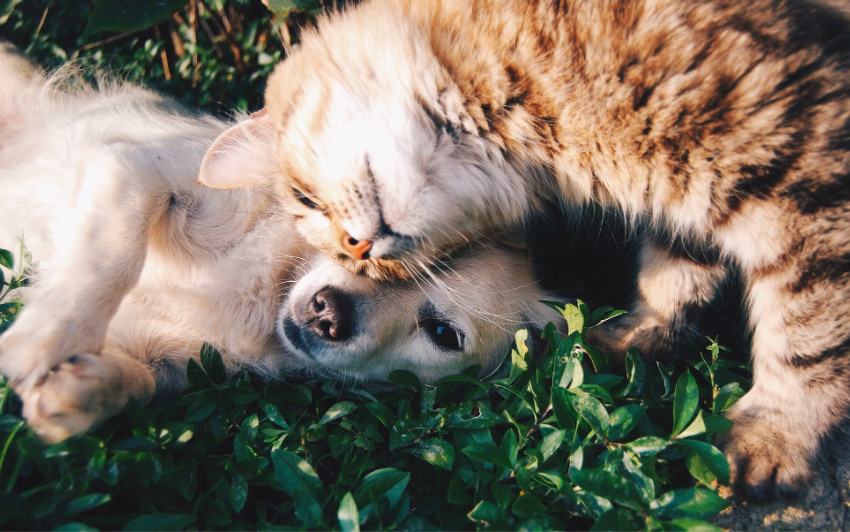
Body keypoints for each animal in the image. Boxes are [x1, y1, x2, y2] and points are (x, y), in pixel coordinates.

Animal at [200, 0, 850, 498]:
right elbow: (675, 274)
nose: (358, 250)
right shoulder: (689, 200)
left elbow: (807, 337)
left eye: (305, 198)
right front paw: (637, 339)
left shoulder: (801, 179)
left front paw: (775, 435)